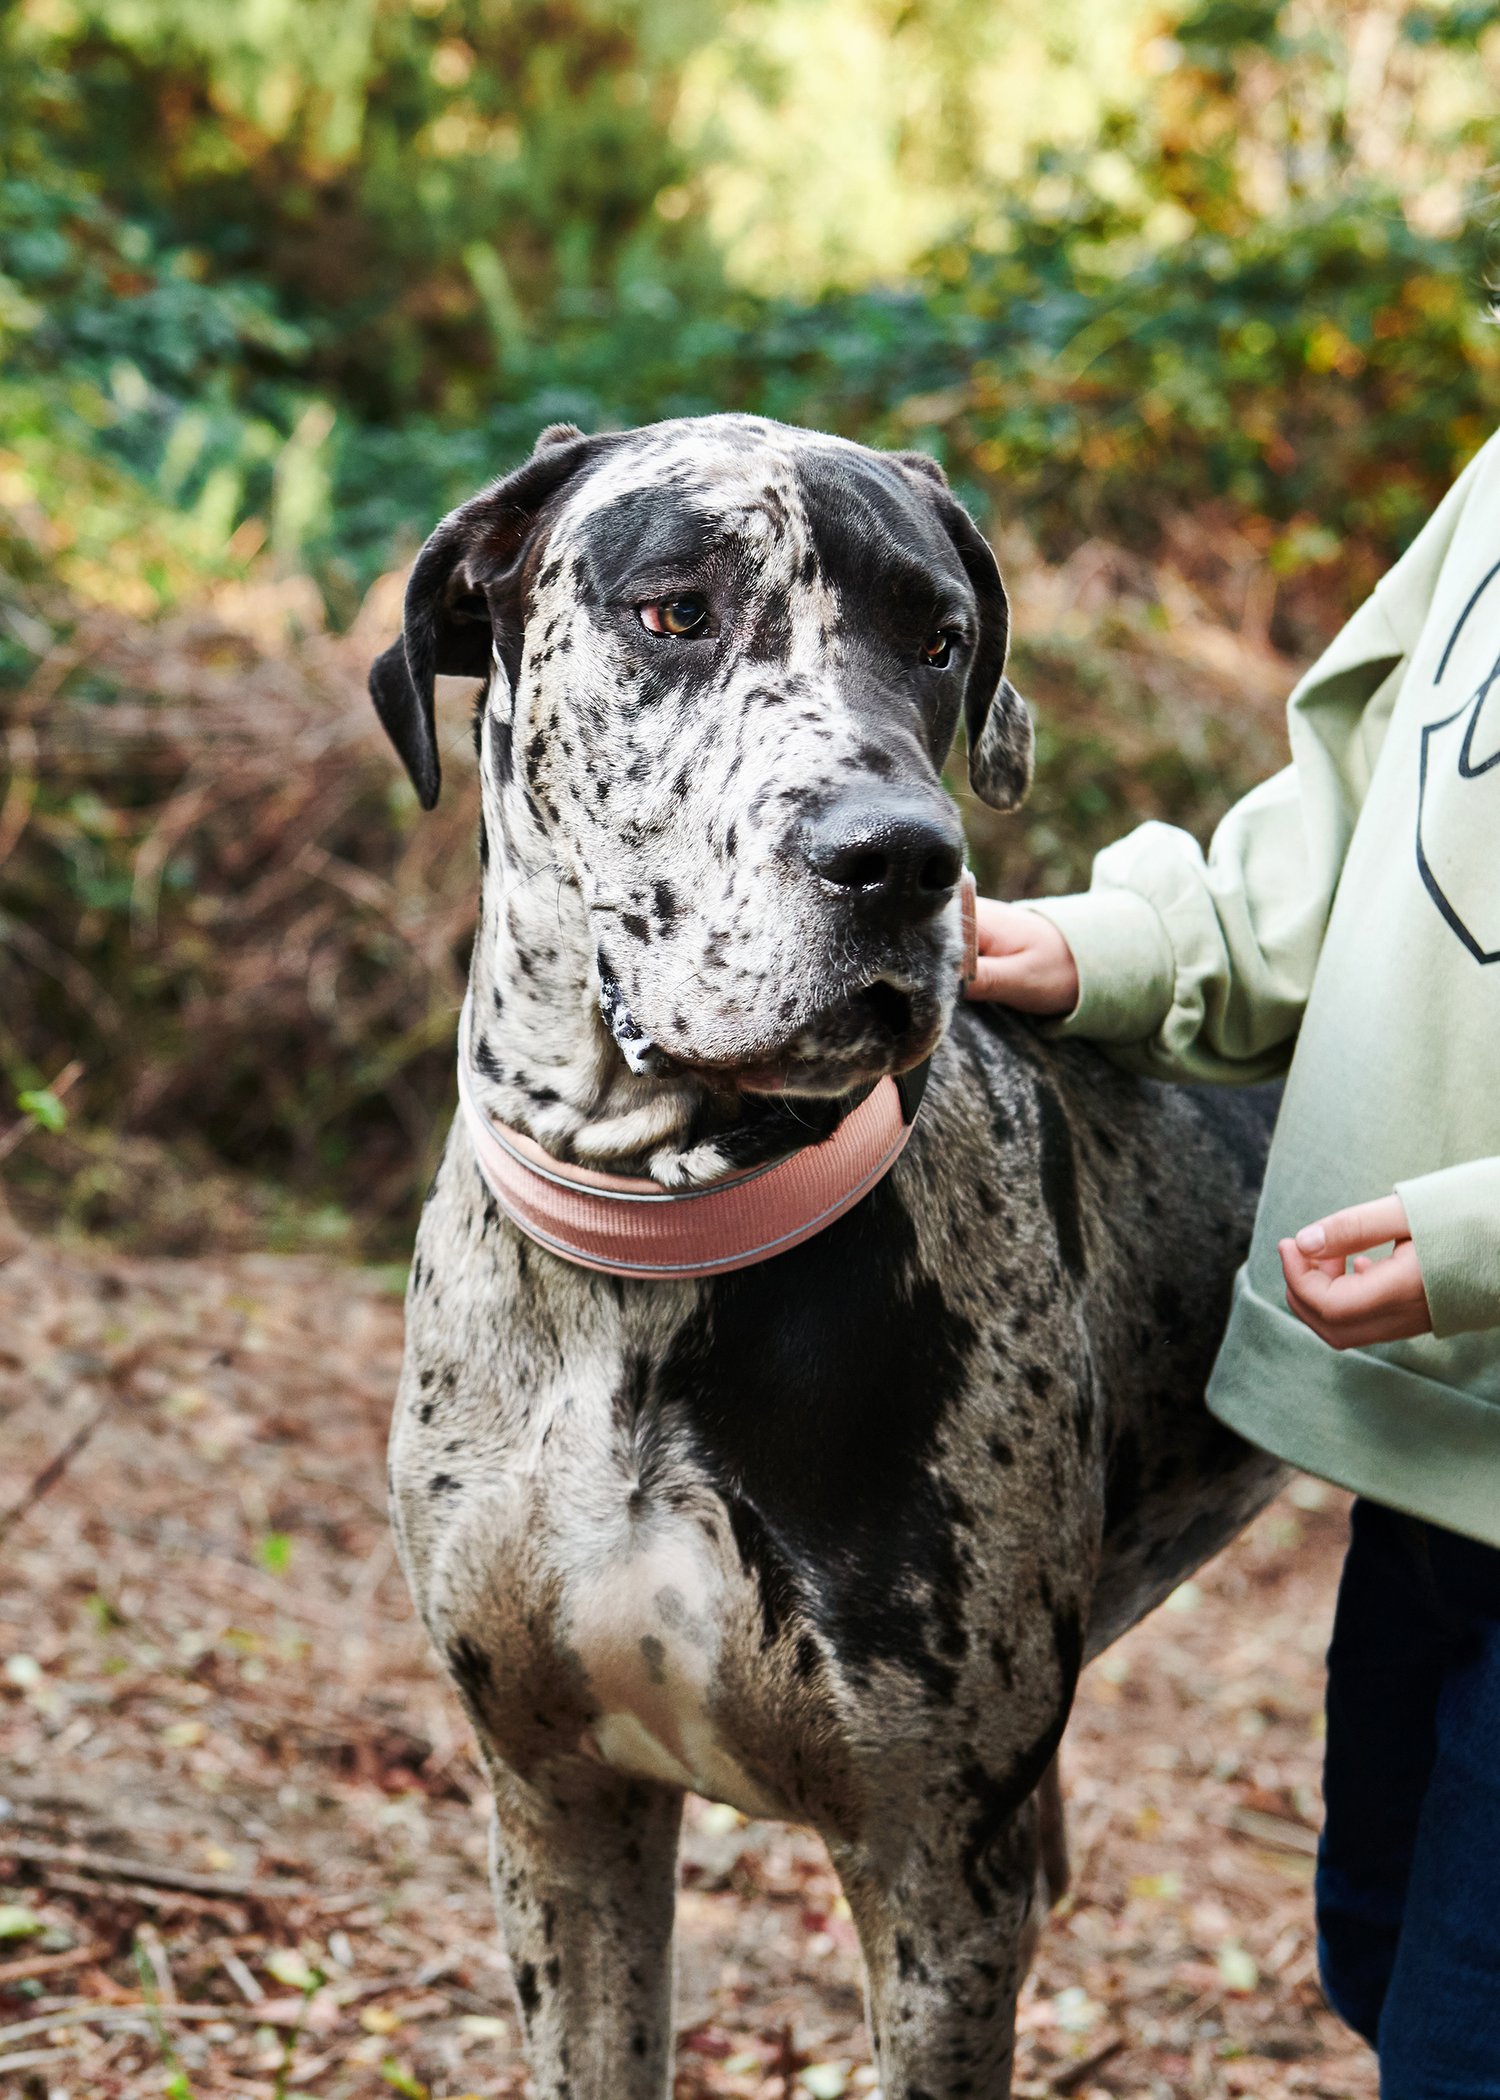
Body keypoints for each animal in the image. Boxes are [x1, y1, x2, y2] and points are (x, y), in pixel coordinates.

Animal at [367, 413, 1277, 2100]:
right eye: (675, 610)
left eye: (940, 640)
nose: (901, 860)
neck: (653, 1252)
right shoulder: (559, 1810)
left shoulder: (941, 1878)